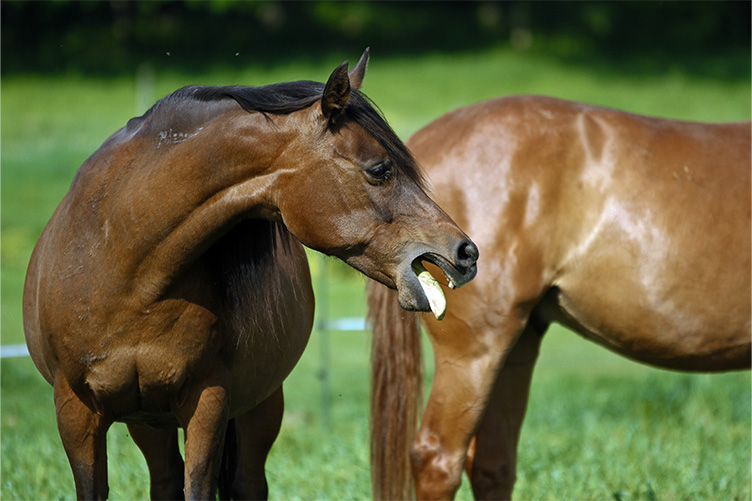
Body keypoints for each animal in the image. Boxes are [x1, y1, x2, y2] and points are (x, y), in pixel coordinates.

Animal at [23, 49, 479, 500]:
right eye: (380, 169)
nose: (465, 252)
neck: (123, 262)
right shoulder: (76, 412)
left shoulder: (207, 404)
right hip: (147, 419)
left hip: (258, 406)